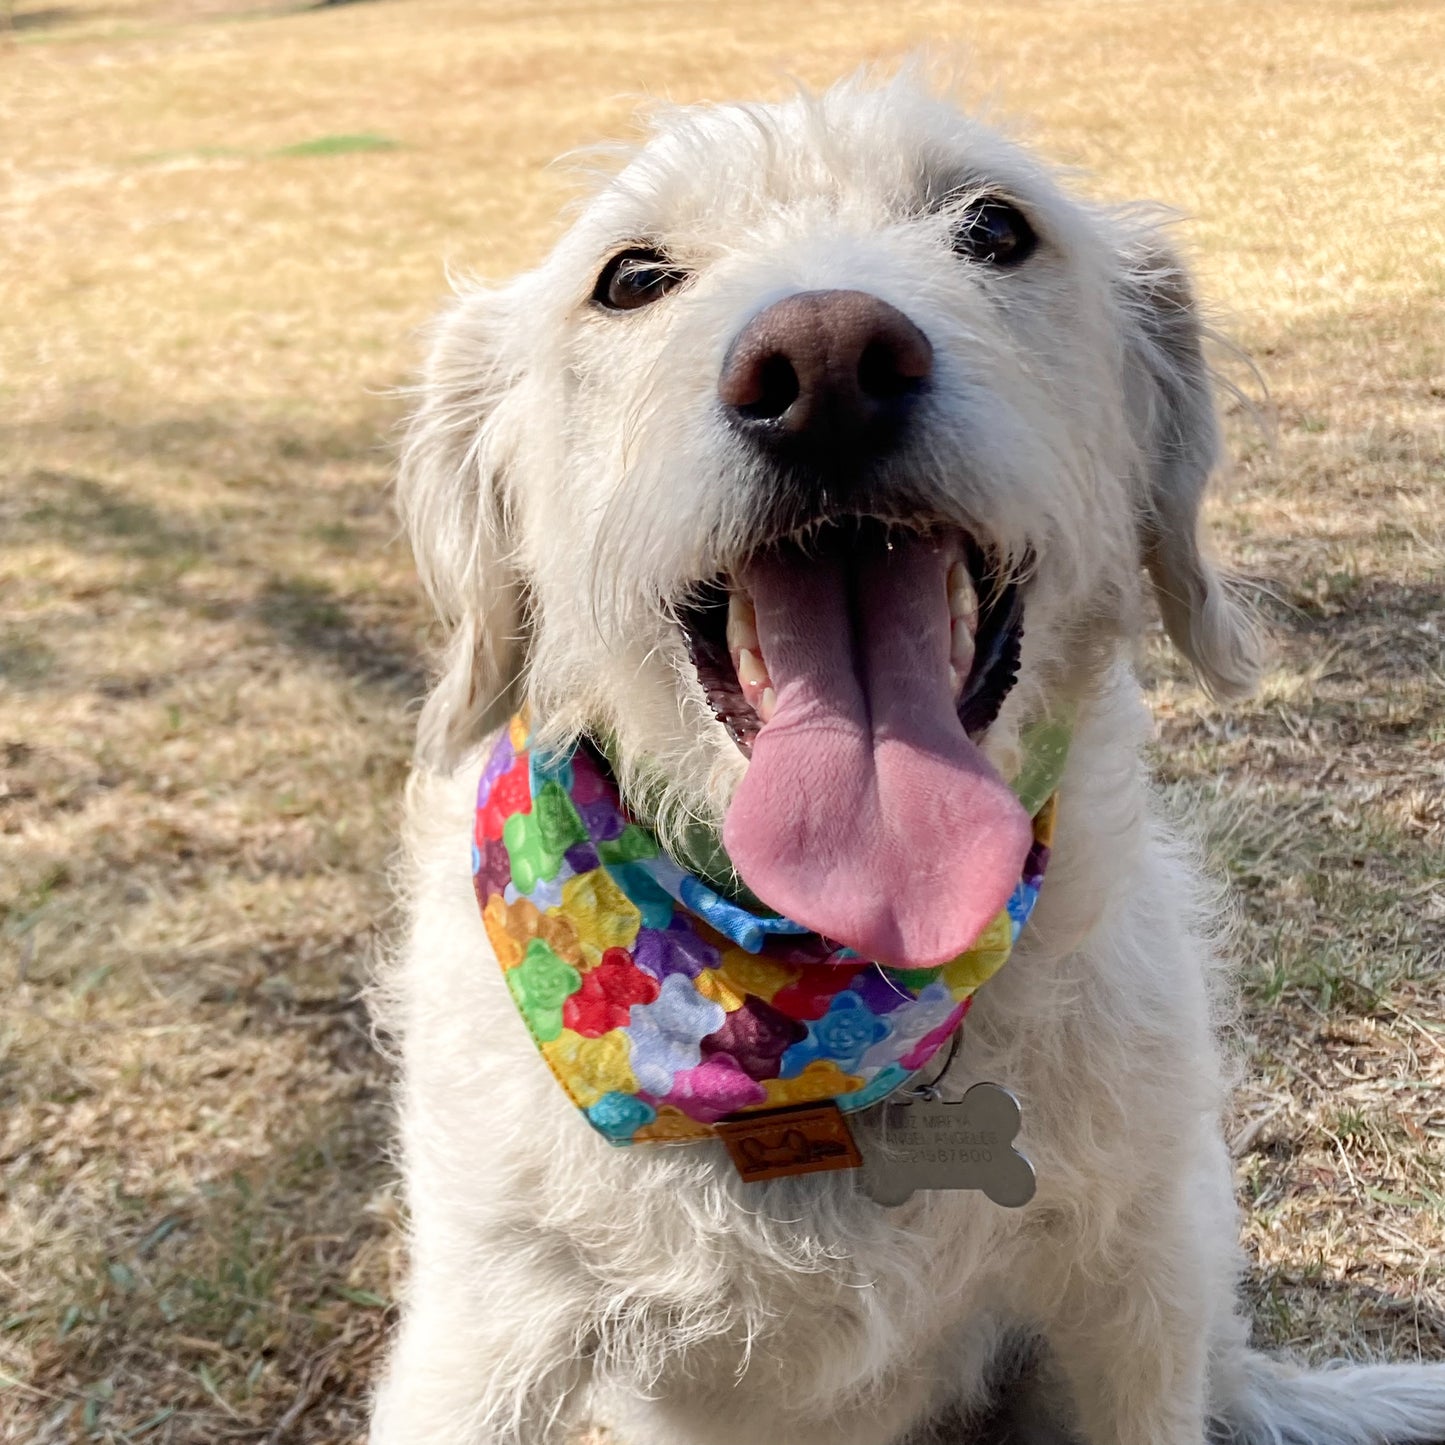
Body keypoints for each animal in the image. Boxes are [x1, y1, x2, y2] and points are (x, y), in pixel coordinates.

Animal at [369, 73, 1445, 1445]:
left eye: (993, 226)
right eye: (630, 277)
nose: (824, 361)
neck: (808, 988)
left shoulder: (1127, 1299)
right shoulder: (486, 1335)